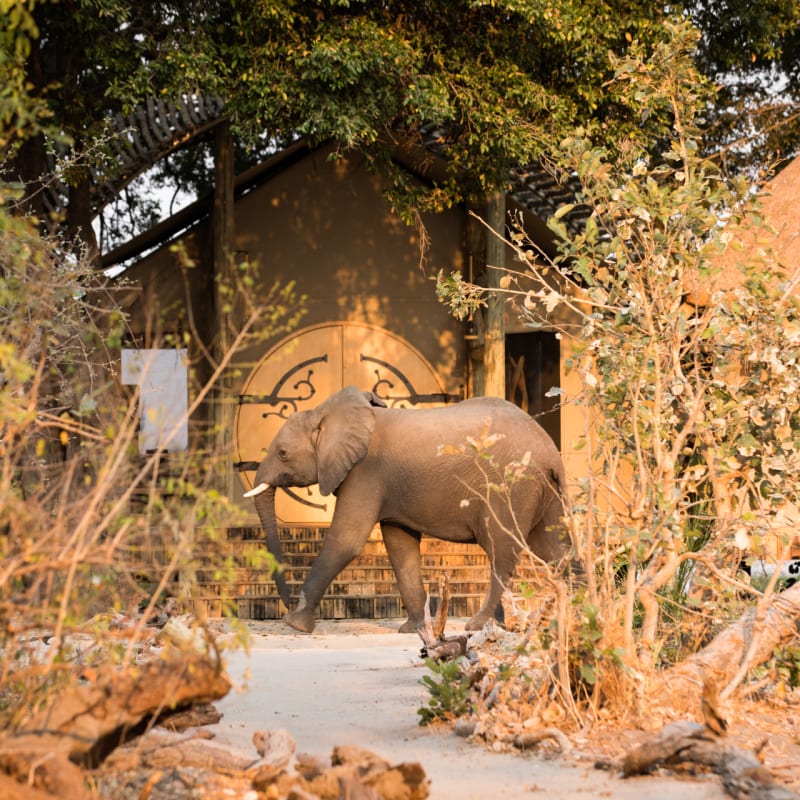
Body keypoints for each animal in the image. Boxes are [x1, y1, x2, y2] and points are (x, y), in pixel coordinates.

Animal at [244, 385, 568, 634]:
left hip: (510, 488)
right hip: (543, 492)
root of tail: (551, 452)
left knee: (501, 552)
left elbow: (345, 541)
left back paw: (477, 625)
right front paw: (413, 630)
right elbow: (400, 546)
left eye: (282, 454)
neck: (326, 413)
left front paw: (294, 625)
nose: (286, 603)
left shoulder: (365, 472)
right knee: (553, 550)